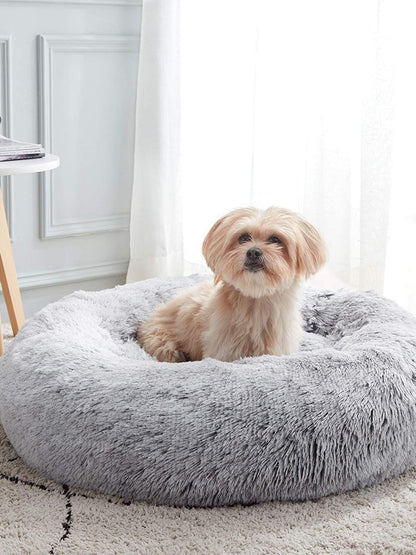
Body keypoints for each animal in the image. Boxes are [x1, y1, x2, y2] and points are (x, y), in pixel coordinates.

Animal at [138, 206, 326, 362]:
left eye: (275, 239)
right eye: (244, 238)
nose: (253, 252)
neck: (256, 300)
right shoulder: (224, 352)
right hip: (163, 344)